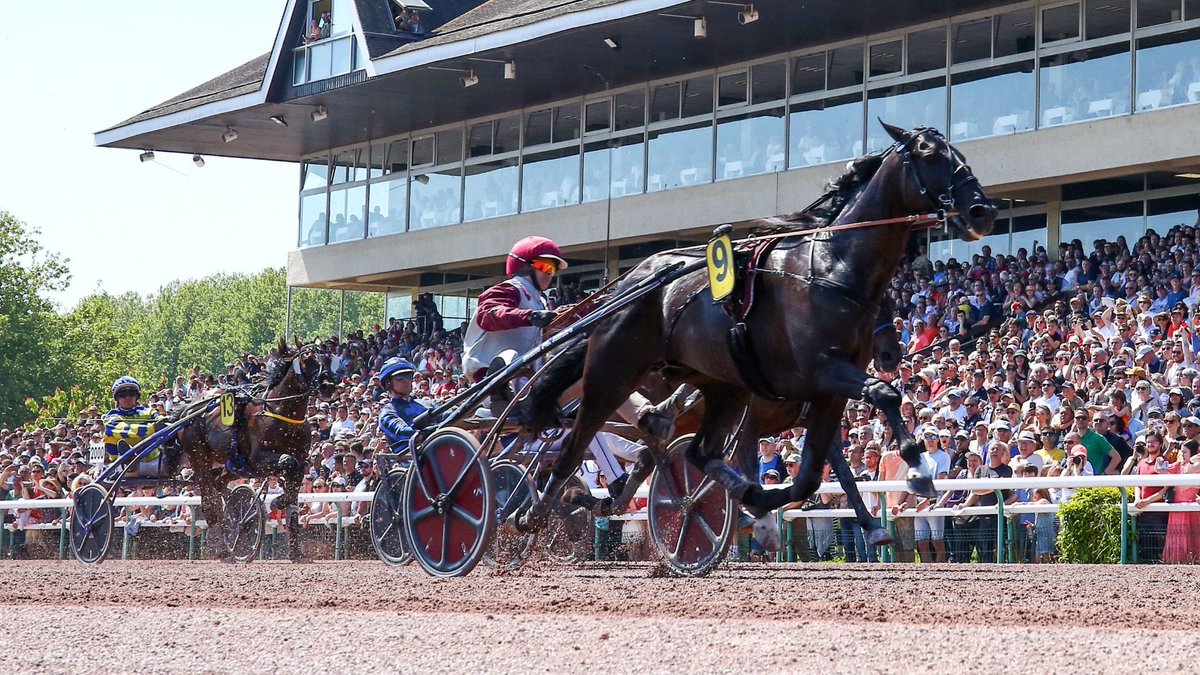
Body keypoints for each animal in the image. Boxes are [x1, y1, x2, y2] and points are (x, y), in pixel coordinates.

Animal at [174, 338, 336, 559]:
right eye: (307, 358)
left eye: (329, 358)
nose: (328, 386)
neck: (282, 412)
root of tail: (190, 408)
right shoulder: (258, 460)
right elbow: (288, 462)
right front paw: (275, 504)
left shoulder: (301, 461)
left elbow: (293, 491)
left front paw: (295, 552)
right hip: (200, 458)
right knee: (210, 501)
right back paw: (226, 544)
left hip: (232, 463)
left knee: (219, 484)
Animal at [520, 121, 998, 547]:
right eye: (929, 153)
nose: (983, 210)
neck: (831, 266)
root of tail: (630, 283)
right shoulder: (818, 371)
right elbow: (884, 395)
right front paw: (917, 468)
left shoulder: (826, 394)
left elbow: (813, 476)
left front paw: (762, 502)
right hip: (612, 374)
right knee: (581, 441)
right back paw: (538, 508)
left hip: (722, 387)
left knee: (694, 452)